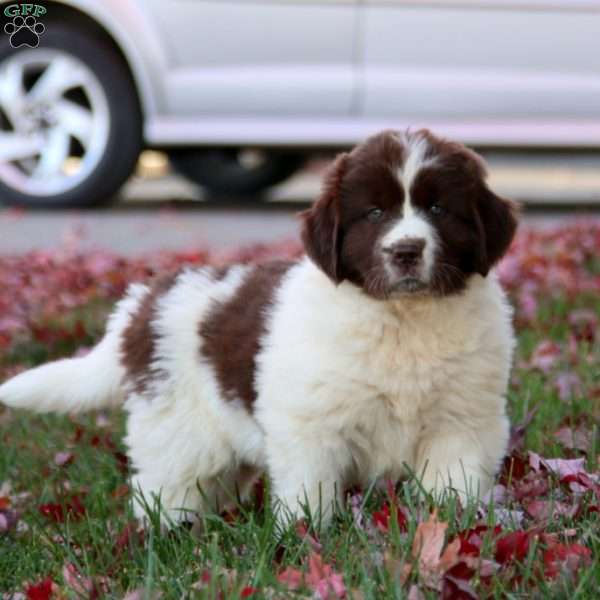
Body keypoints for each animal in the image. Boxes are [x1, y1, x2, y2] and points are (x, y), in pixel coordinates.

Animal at [0, 130, 516, 524]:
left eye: (438, 209)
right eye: (374, 213)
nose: (406, 250)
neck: (403, 318)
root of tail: (143, 303)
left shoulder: (461, 422)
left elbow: (453, 487)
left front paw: (454, 526)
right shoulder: (311, 426)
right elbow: (311, 493)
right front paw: (306, 539)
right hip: (176, 433)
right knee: (165, 490)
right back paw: (166, 538)